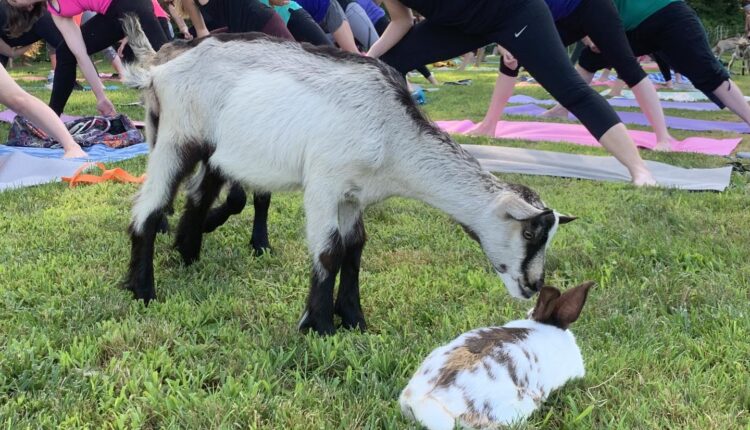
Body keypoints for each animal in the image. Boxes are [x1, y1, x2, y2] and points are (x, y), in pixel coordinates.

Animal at [120, 16, 575, 335]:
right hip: (177, 136)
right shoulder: (324, 182)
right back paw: (143, 291)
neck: (392, 135)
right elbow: (329, 250)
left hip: (213, 148)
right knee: (150, 207)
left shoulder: (354, 195)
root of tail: (159, 67)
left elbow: (354, 247)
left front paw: (354, 318)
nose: (534, 285)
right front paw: (319, 325)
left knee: (198, 195)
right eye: (531, 232)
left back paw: (186, 253)